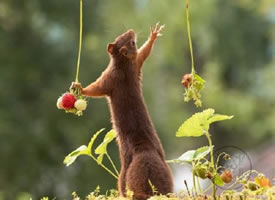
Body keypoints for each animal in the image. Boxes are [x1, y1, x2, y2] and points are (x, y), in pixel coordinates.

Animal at [72, 23, 174, 198]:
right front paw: (153, 35)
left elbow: (95, 88)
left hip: (122, 174)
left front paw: (80, 88)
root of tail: (144, 153)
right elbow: (144, 53)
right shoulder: (135, 66)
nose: (131, 30)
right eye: (122, 37)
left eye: (131, 41)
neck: (123, 65)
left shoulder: (110, 78)